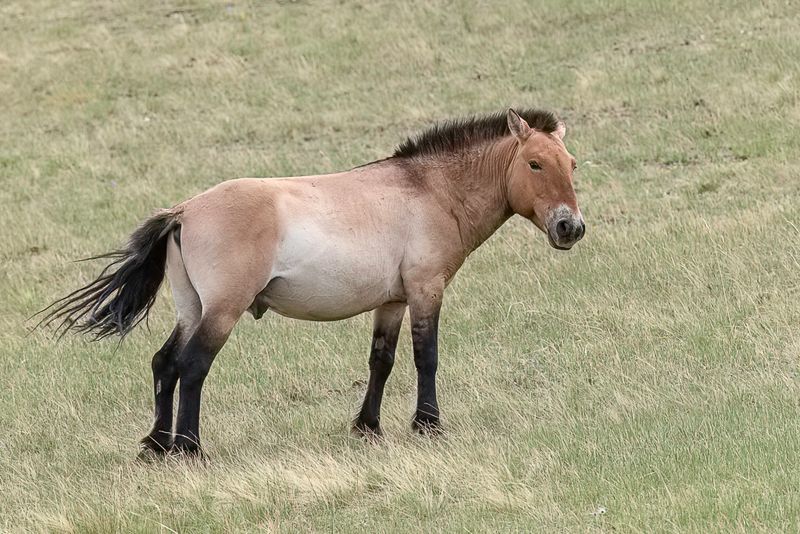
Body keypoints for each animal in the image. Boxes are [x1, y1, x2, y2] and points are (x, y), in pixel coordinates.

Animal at [37, 110, 584, 460]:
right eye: (535, 163)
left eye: (572, 165)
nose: (570, 227)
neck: (429, 190)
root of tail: (184, 210)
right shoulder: (426, 291)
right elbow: (425, 357)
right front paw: (428, 425)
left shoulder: (392, 301)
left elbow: (382, 361)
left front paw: (368, 428)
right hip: (221, 312)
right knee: (192, 367)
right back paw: (190, 449)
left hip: (191, 310)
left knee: (164, 364)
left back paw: (156, 446)